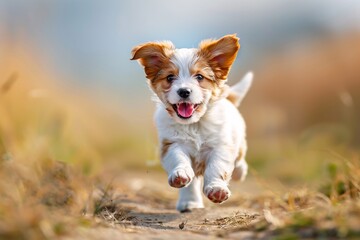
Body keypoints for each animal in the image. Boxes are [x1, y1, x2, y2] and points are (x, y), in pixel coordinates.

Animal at [131, 34, 252, 212]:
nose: (184, 91)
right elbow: (179, 159)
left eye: (199, 77)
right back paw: (190, 202)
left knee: (239, 158)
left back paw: (239, 171)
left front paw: (217, 188)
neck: (194, 124)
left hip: (238, 139)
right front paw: (180, 174)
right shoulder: (172, 144)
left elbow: (217, 166)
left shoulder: (220, 146)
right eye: (170, 77)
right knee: (193, 182)